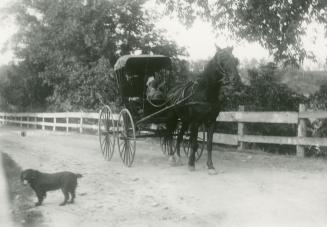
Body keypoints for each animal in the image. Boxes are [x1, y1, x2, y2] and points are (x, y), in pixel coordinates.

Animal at [165, 45, 240, 174]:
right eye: (223, 59)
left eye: (235, 60)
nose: (235, 79)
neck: (206, 93)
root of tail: (172, 90)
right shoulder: (195, 122)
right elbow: (194, 143)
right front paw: (191, 164)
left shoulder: (211, 121)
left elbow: (209, 145)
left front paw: (211, 166)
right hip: (172, 117)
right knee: (170, 135)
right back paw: (172, 157)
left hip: (185, 121)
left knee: (179, 137)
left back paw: (179, 157)